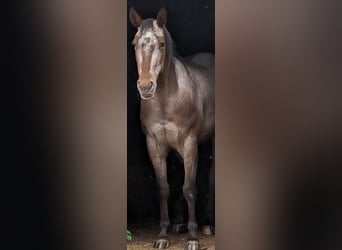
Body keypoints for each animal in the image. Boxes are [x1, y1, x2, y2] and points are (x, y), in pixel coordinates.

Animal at [128, 6, 214, 249]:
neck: (167, 100)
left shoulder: (190, 144)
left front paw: (193, 238)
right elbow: (164, 187)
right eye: (134, 43)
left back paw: (206, 224)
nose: (145, 86)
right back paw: (179, 223)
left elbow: (189, 189)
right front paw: (163, 234)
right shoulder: (155, 146)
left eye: (161, 43)